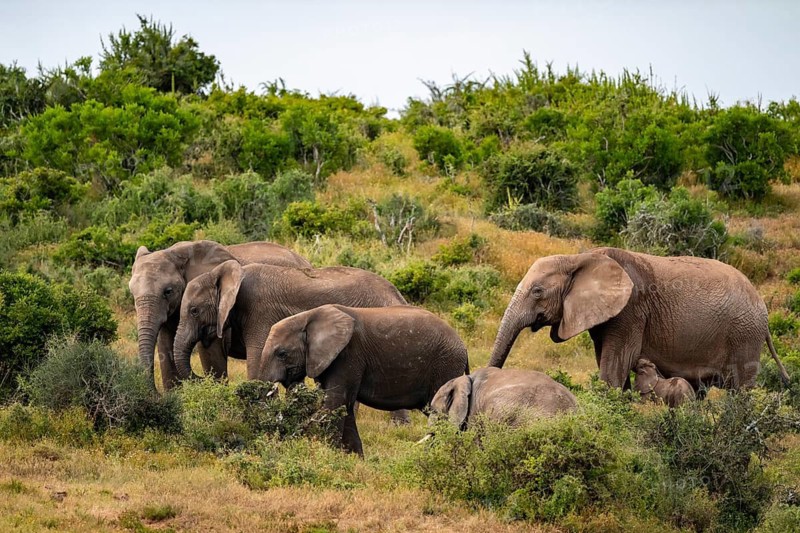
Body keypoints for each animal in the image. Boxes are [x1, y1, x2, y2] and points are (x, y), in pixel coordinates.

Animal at [172, 261, 412, 424]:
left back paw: (398, 425)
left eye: (194, 311)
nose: (200, 379)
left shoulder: (260, 312)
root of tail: (397, 294)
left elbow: (257, 358)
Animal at [258, 304, 470, 455]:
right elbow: (345, 406)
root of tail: (463, 347)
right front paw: (354, 459)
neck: (307, 316)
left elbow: (335, 403)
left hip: (445, 366)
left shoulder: (348, 356)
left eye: (282, 353)